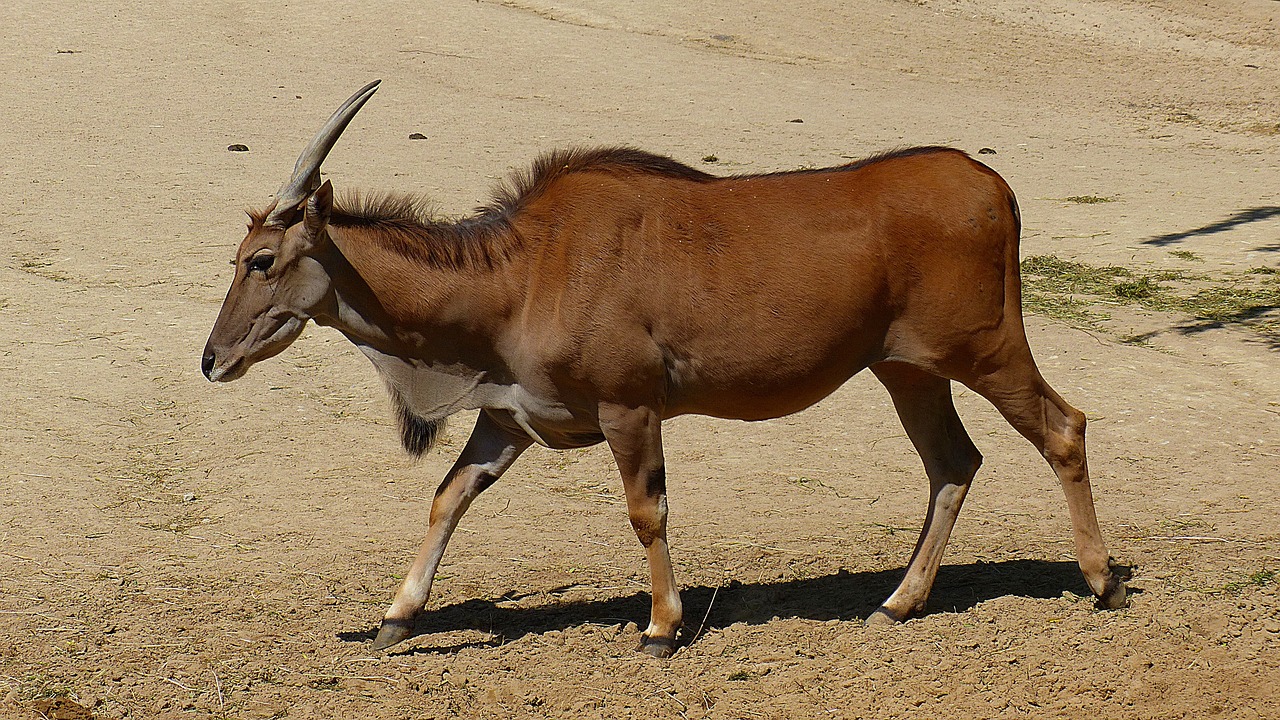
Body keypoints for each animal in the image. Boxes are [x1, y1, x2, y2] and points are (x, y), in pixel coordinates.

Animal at [202, 79, 1131, 655]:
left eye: (261, 259)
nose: (212, 360)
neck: (522, 271)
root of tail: (990, 185)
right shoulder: (509, 420)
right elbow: (448, 497)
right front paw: (396, 618)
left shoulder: (630, 410)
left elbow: (646, 513)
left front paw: (660, 628)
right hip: (908, 372)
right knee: (953, 463)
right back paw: (897, 602)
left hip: (986, 353)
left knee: (1064, 428)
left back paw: (1101, 583)